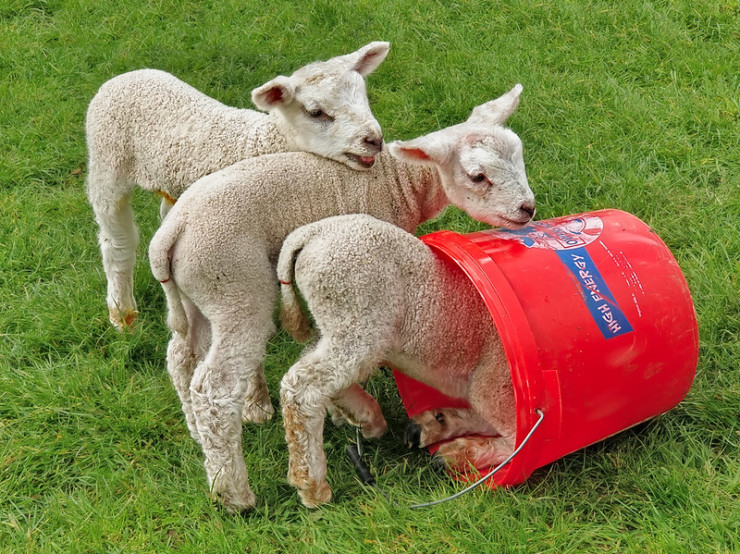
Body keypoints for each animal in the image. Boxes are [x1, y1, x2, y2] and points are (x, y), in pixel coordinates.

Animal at [85, 43, 388, 330]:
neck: (265, 142)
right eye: (316, 112)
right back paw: (122, 314)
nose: (374, 140)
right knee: (116, 242)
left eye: (363, 96)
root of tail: (123, 77)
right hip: (106, 162)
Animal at [278, 213, 516, 506]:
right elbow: (519, 437)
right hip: (358, 313)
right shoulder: (497, 377)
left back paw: (371, 418)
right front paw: (459, 451)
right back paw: (312, 487)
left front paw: (439, 426)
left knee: (317, 366)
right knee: (303, 386)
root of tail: (307, 235)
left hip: (340, 322)